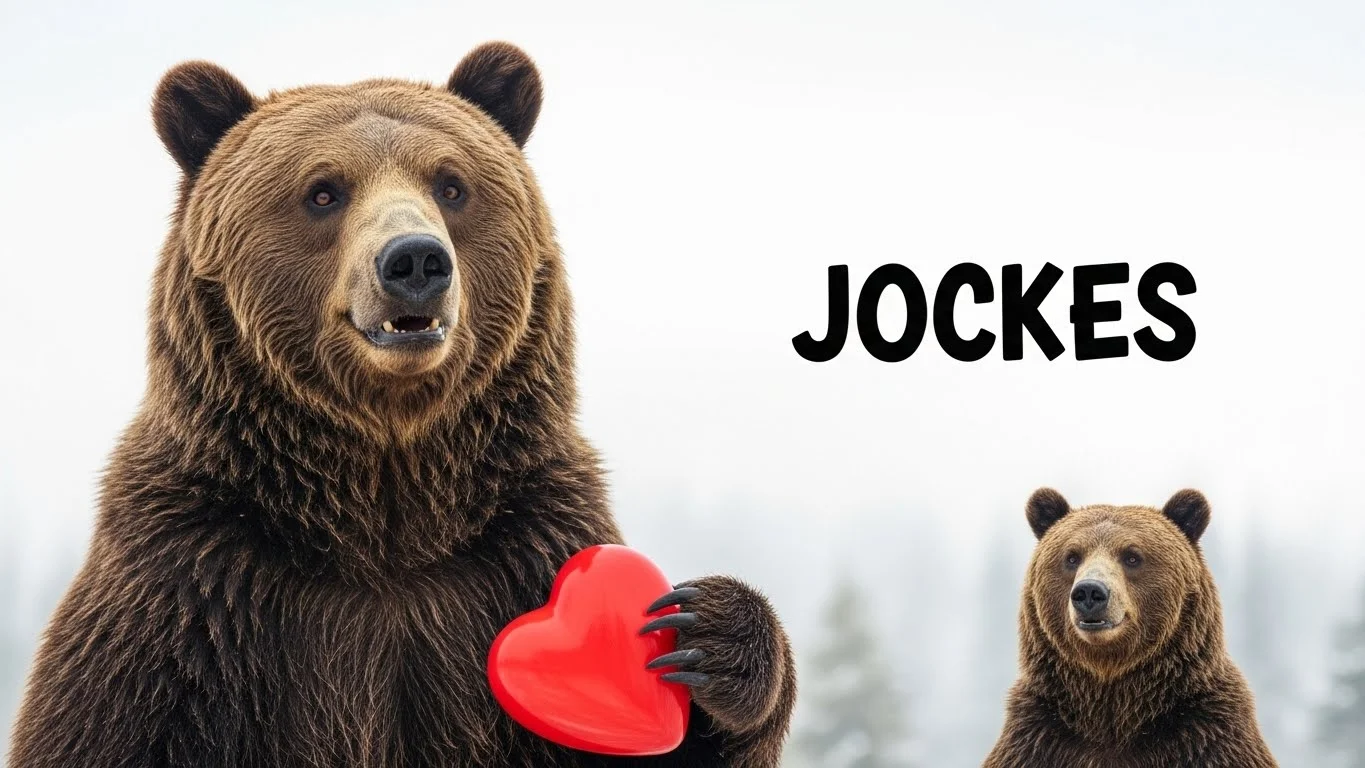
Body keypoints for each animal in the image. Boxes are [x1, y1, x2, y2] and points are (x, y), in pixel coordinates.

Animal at [8, 42, 795, 768]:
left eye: (451, 183)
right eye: (323, 191)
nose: (415, 260)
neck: (387, 516)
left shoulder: (520, 550)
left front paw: (705, 632)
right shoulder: (194, 599)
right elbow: (116, 728)